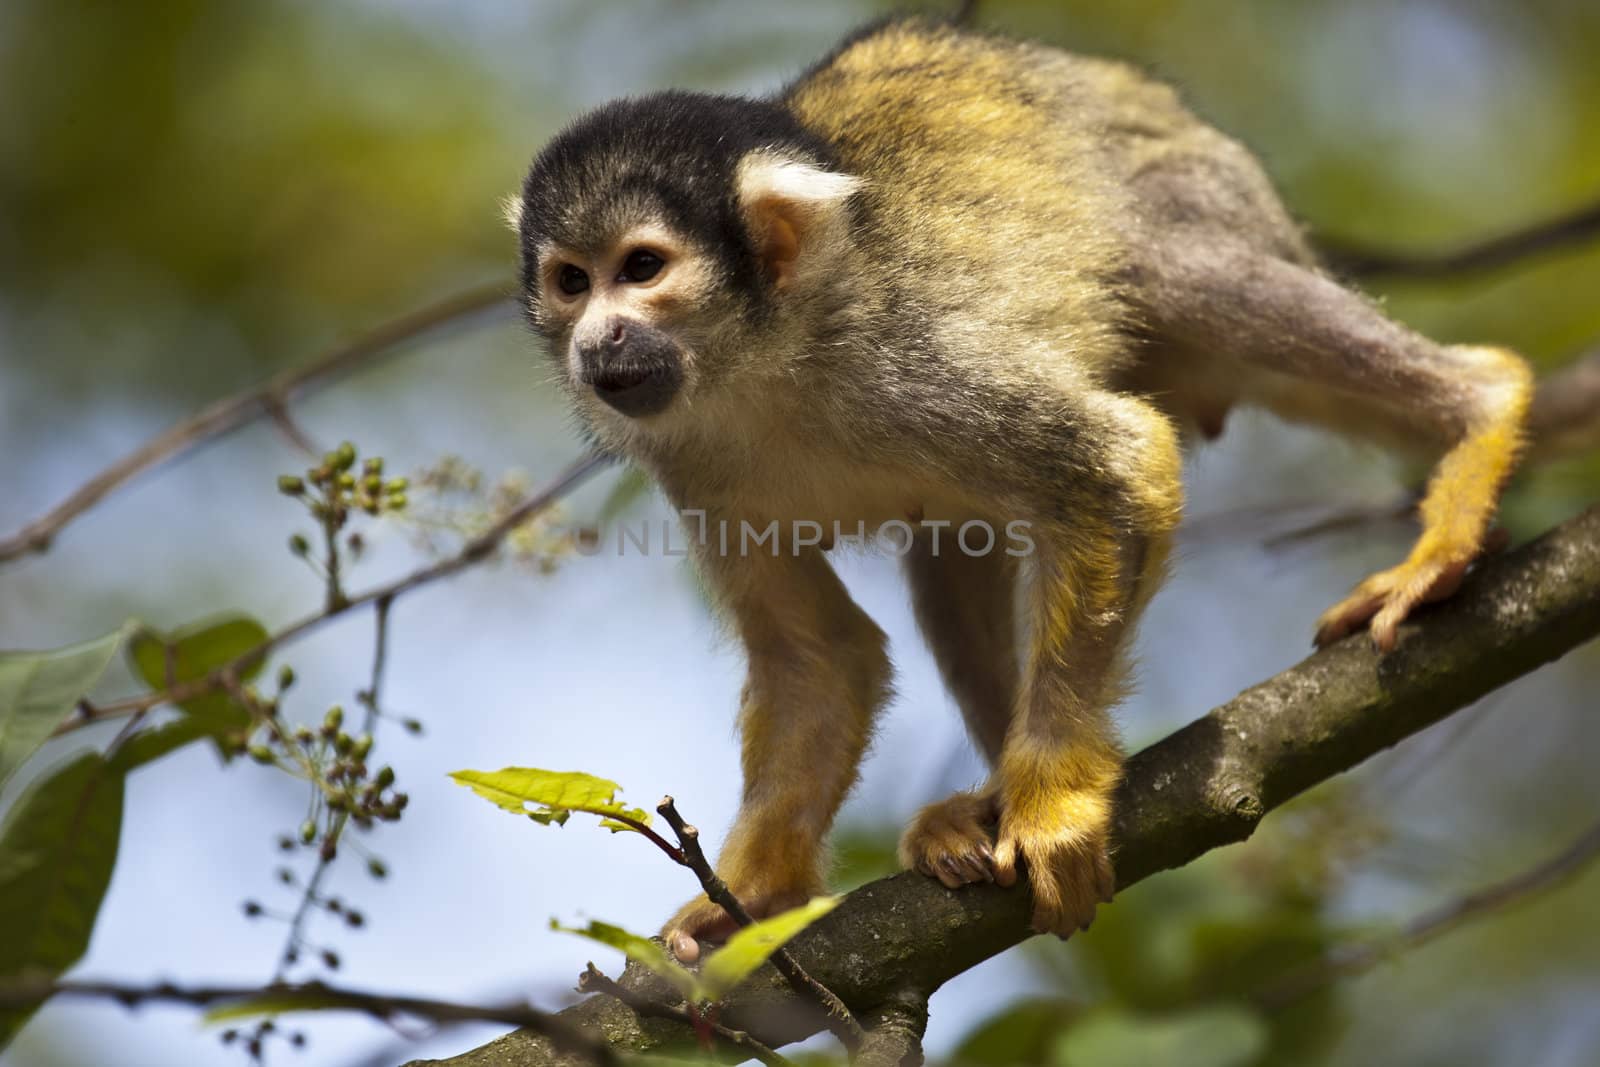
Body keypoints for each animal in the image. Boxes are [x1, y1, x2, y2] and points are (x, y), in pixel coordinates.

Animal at [505, 16, 1529, 953]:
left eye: (643, 268)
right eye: (572, 282)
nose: (598, 339)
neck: (766, 362)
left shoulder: (910, 366)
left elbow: (1121, 462)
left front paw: (1054, 802)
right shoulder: (689, 462)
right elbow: (819, 660)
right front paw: (749, 897)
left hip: (1200, 190)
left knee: (1182, 273)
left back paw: (1480, 410)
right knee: (949, 546)